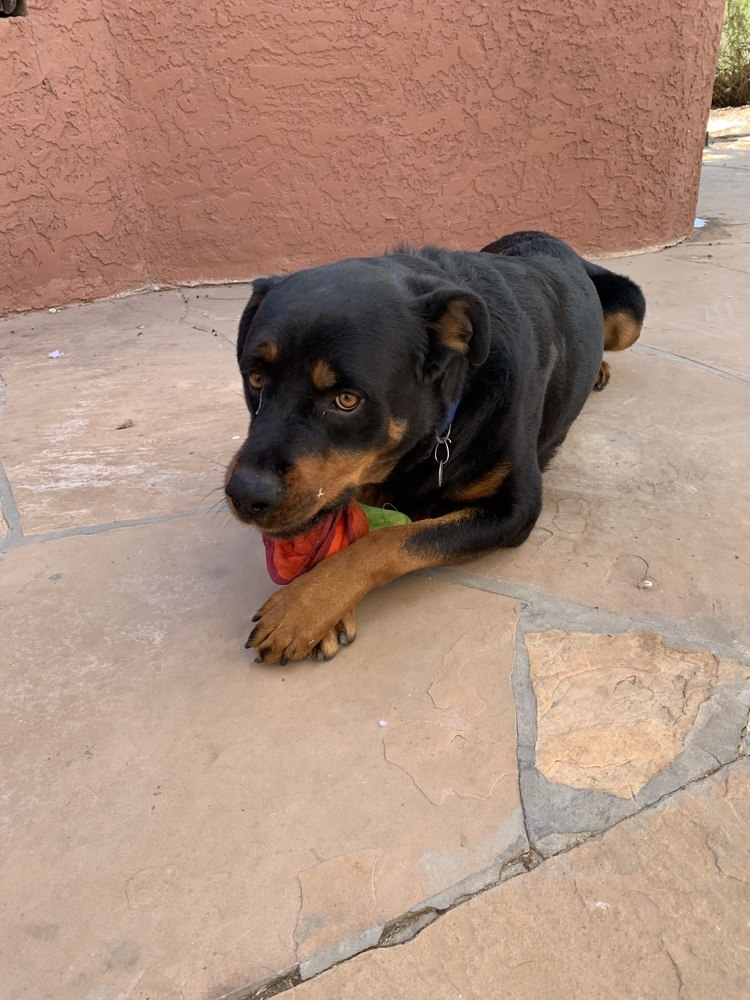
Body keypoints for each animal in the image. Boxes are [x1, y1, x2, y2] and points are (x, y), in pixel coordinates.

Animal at [225, 229, 648, 660]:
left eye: (347, 400)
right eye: (255, 379)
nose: (245, 495)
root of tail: (547, 237)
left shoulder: (515, 509)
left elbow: (390, 540)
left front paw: (304, 606)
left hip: (631, 312)